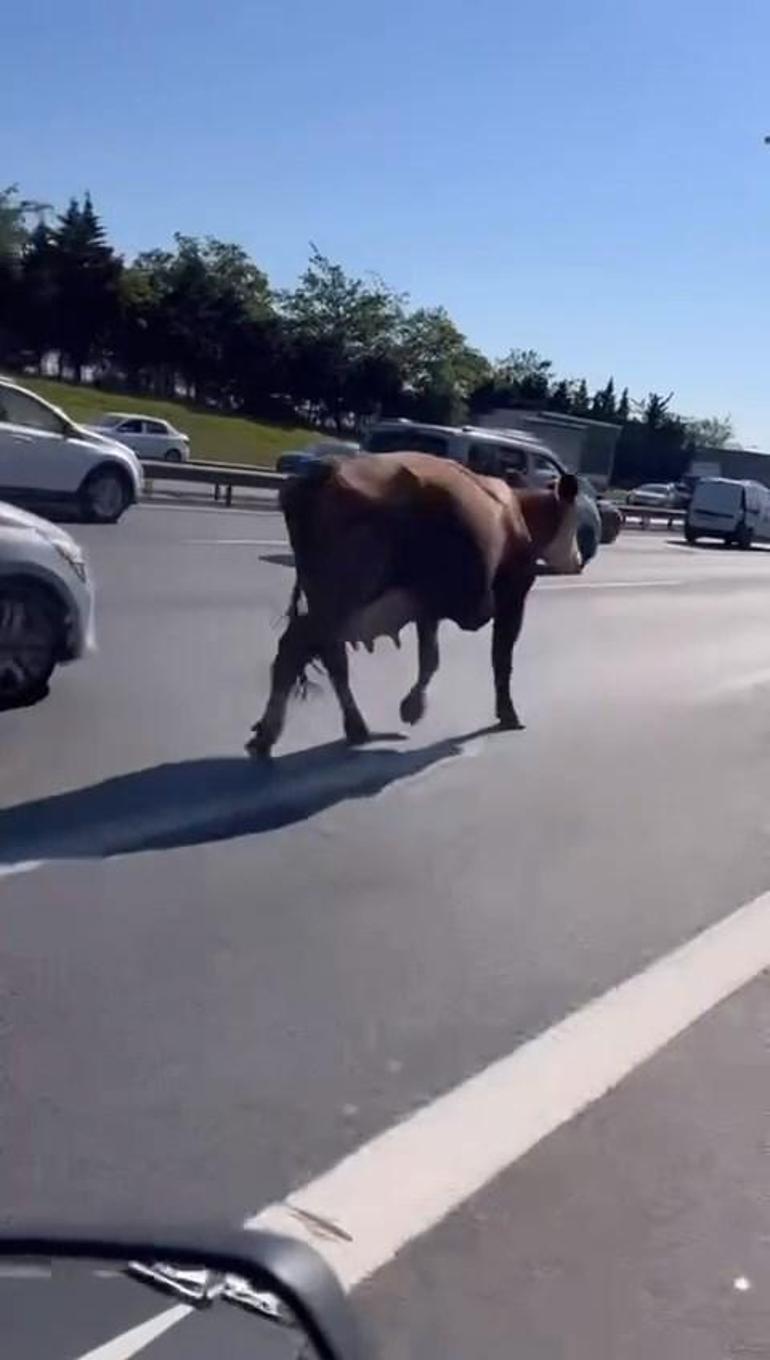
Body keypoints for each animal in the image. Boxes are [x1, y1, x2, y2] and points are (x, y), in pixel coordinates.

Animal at [250, 454, 582, 756]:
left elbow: (430, 657)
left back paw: (353, 728)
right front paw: (508, 714)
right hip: (341, 596)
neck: (519, 513)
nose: (579, 559)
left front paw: (413, 706)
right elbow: (501, 658)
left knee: (328, 655)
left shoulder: (427, 605)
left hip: (326, 598)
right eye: (576, 519)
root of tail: (325, 473)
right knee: (297, 648)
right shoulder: (512, 595)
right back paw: (267, 737)